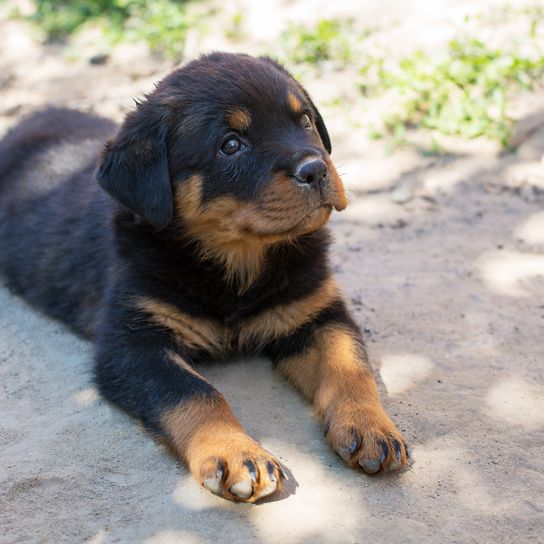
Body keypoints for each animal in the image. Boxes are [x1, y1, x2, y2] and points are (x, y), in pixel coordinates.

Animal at [0, 53, 408, 504]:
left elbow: (349, 365)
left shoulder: (316, 311)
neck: (239, 265)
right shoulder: (132, 343)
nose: (316, 169)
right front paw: (237, 454)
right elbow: (195, 392)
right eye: (230, 145)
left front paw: (370, 426)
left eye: (303, 120)